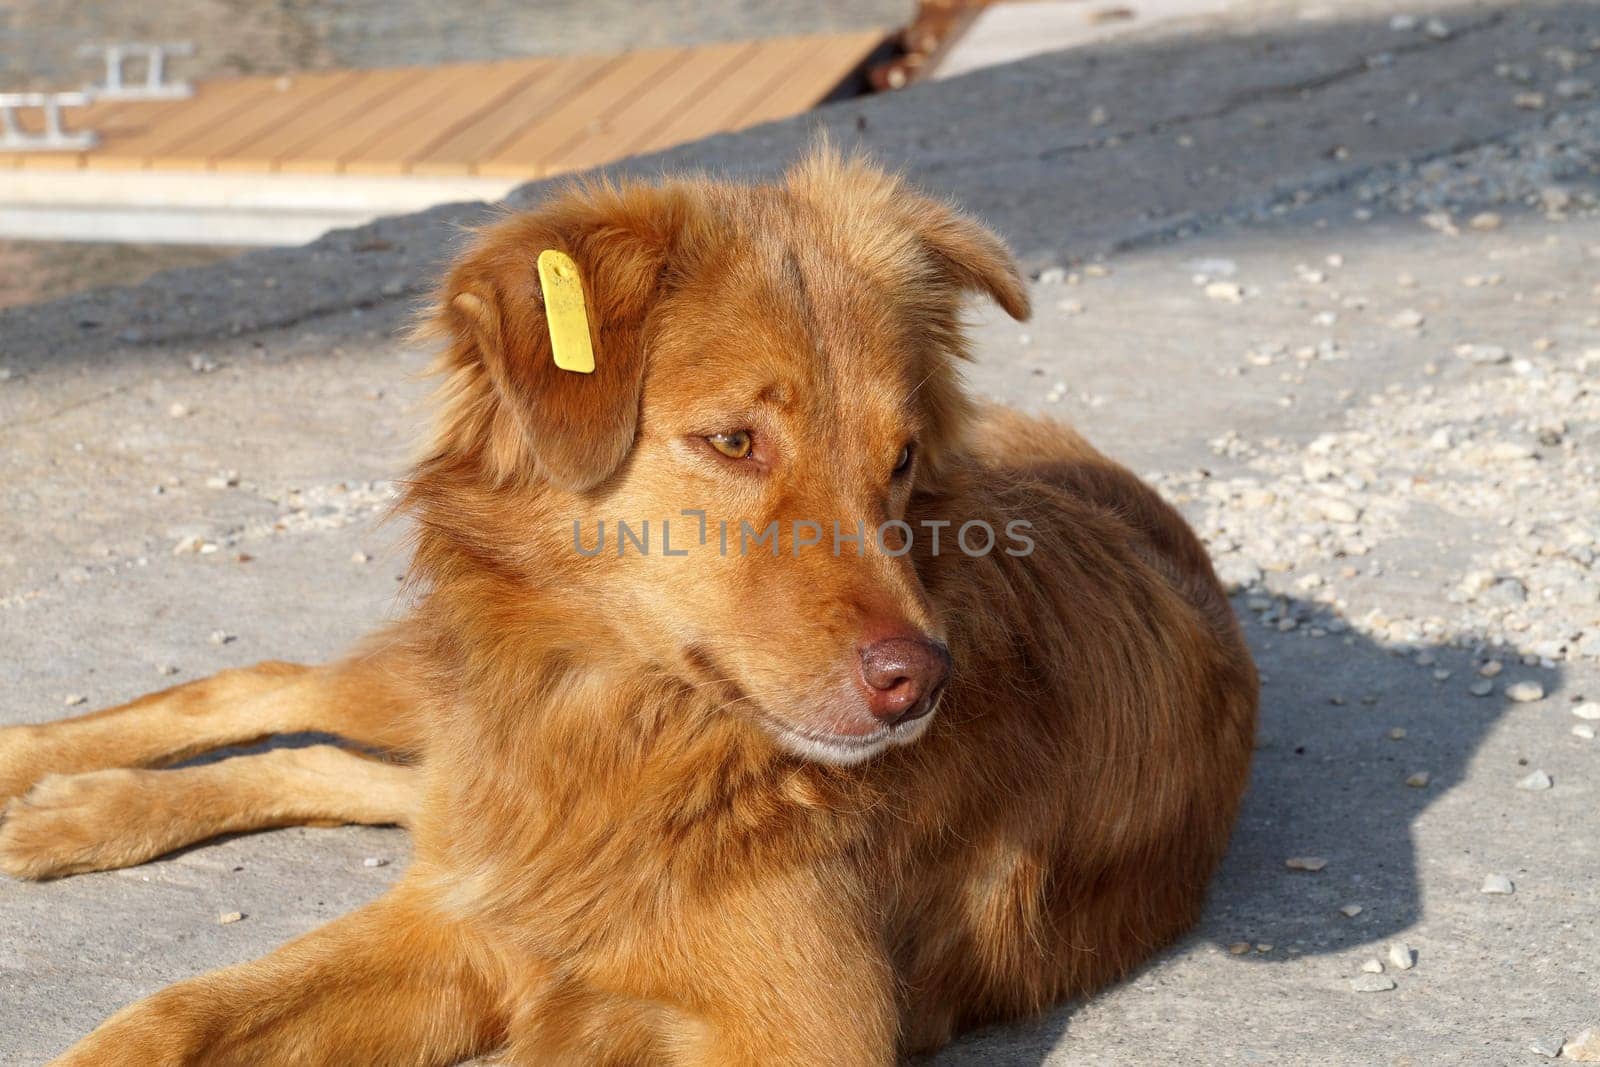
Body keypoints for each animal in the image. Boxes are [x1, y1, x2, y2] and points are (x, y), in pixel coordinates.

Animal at [0, 147, 1248, 1067]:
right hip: (430, 713)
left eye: (899, 460)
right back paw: (49, 778)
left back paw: (71, 809)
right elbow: (174, 1010)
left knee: (370, 775)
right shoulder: (470, 917)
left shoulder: (783, 1023)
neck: (627, 732)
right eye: (734, 441)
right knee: (277, 689)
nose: (918, 681)